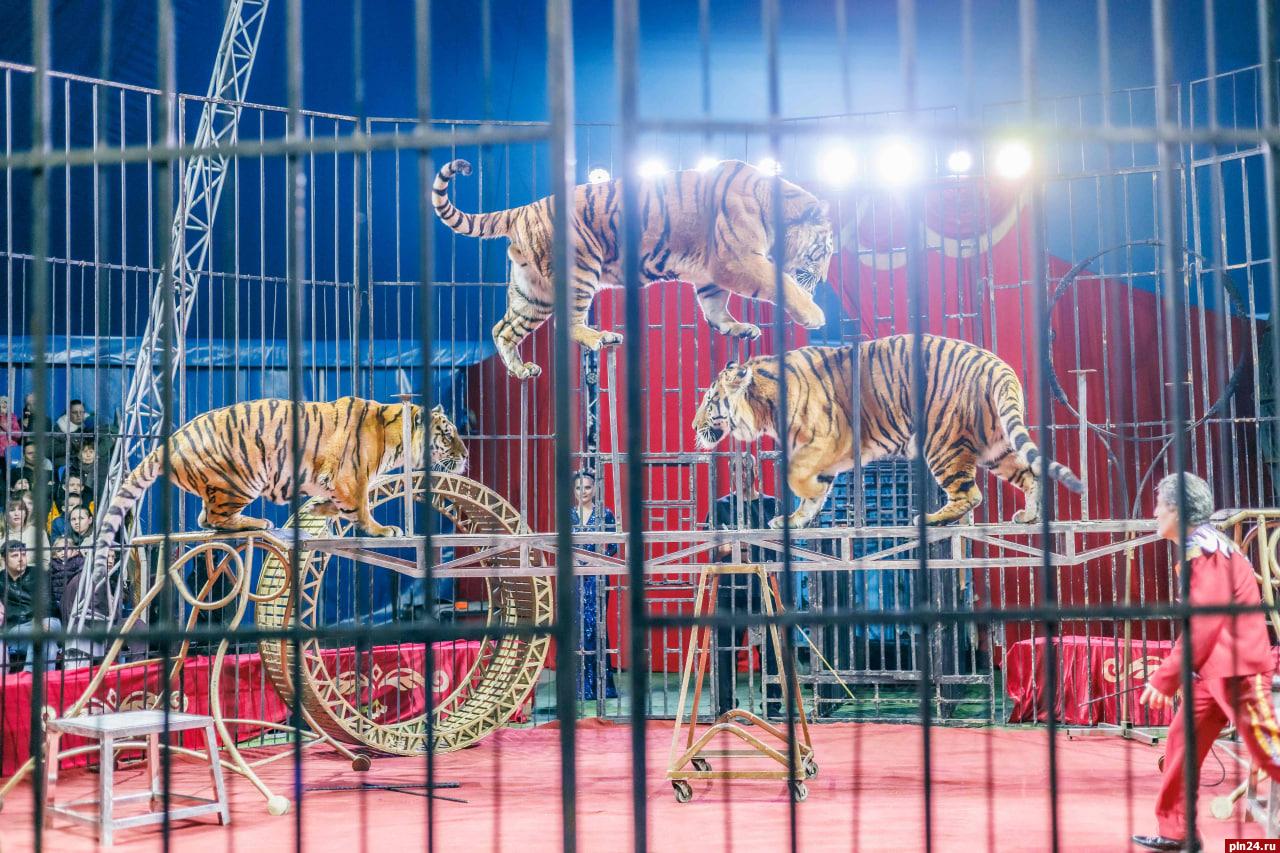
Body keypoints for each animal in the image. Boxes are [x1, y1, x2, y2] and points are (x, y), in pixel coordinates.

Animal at [90, 398, 468, 573]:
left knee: (204, 518)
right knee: (214, 519)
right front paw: (382, 530)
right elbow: (360, 508)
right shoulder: (352, 478)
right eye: (448, 435)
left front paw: (320, 509)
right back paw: (258, 521)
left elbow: (334, 504)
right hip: (239, 480)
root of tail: (172, 438)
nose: (466, 456)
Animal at [432, 158, 834, 380]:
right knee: (568, 323)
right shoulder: (737, 260)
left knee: (502, 328)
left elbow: (716, 308)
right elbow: (781, 283)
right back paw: (599, 337)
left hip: (533, 295)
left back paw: (522, 371)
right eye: (824, 252)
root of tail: (522, 209)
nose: (824, 279)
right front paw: (814, 313)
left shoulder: (712, 274)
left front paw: (737, 328)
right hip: (581, 269)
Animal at [692, 334, 1084, 528]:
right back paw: (1029, 516)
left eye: (710, 400)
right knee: (1030, 474)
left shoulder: (830, 440)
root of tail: (997, 366)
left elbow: (796, 476)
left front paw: (805, 497)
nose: (694, 426)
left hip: (942, 442)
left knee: (970, 495)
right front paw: (795, 519)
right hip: (996, 447)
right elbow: (812, 497)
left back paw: (930, 518)